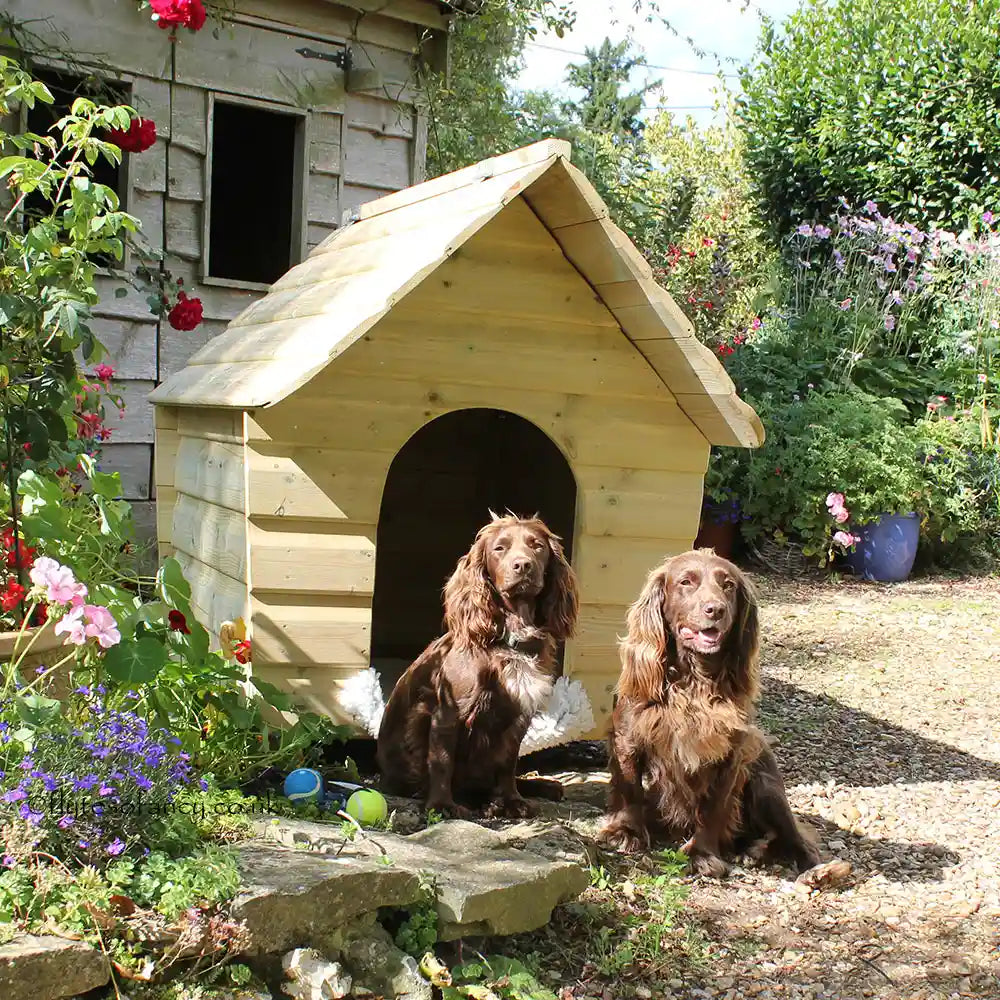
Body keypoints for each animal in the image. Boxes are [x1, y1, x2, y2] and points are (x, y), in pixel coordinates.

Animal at [376, 516, 580, 820]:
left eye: (537, 546)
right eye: (499, 548)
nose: (523, 565)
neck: (511, 638)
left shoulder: (519, 714)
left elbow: (508, 763)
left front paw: (511, 800)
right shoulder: (448, 710)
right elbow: (442, 760)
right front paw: (441, 805)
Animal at [600, 548, 820, 876]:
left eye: (728, 585)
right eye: (686, 582)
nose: (715, 609)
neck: (694, 682)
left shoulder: (729, 754)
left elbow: (713, 808)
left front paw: (702, 854)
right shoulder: (628, 737)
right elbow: (630, 791)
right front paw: (626, 832)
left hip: (766, 785)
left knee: (792, 836)